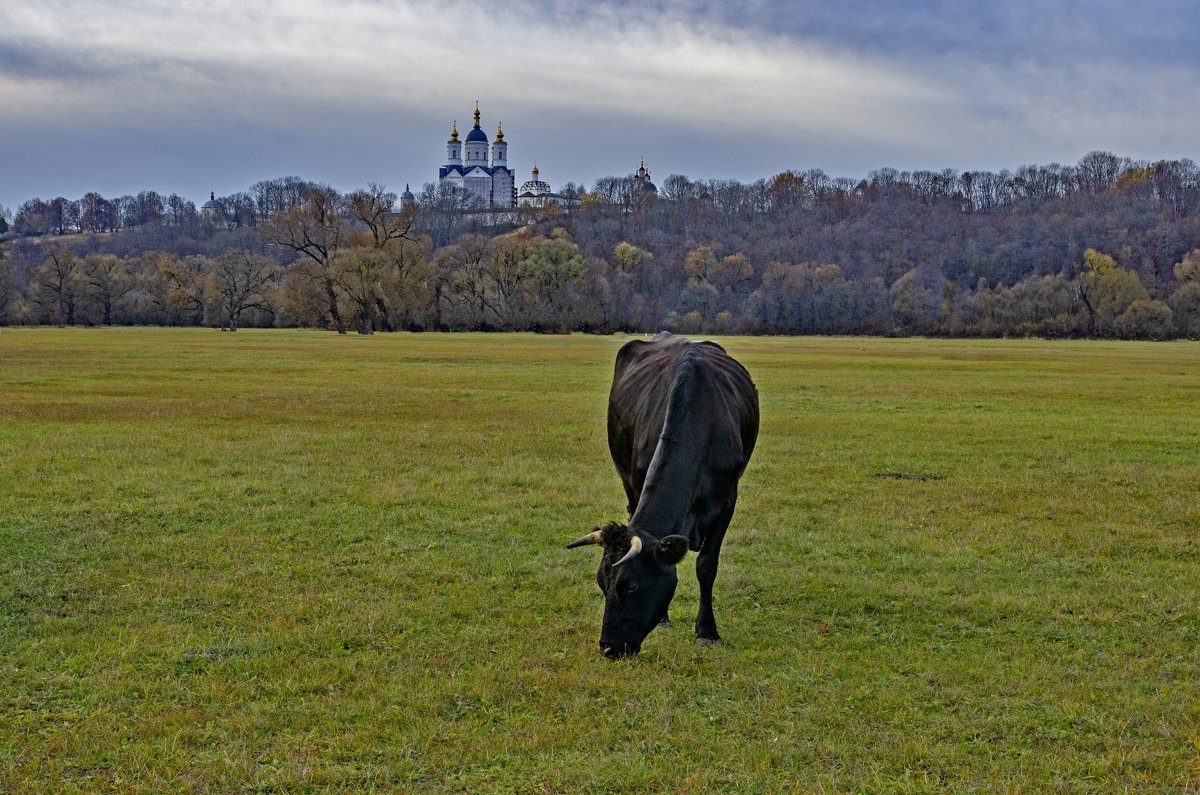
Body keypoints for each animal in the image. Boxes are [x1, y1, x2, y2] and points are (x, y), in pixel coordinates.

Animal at [568, 331, 758, 658]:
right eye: (602, 584)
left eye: (631, 586)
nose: (608, 647)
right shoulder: (636, 482)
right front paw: (666, 620)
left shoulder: (726, 503)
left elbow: (706, 566)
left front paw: (707, 631)